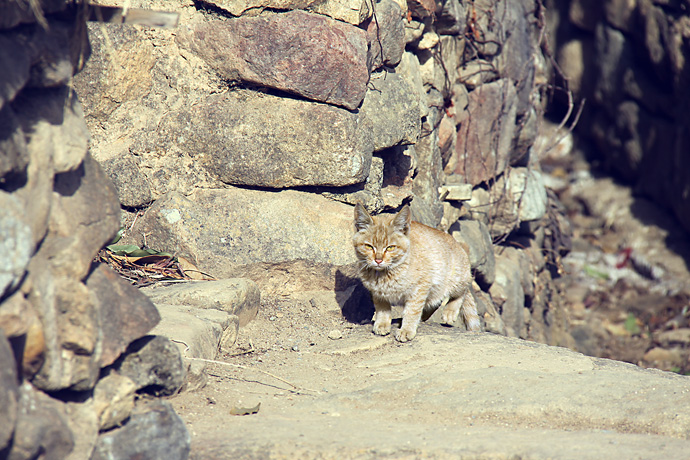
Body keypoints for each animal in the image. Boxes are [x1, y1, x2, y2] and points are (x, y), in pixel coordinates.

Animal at [350, 204, 478, 342]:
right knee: (435, 302)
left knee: (462, 291)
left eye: (390, 247)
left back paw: (449, 312)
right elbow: (382, 308)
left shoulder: (420, 288)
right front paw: (382, 324)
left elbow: (412, 311)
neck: (384, 274)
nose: (378, 260)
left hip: (456, 278)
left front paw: (406, 330)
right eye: (369, 246)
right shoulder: (378, 293)